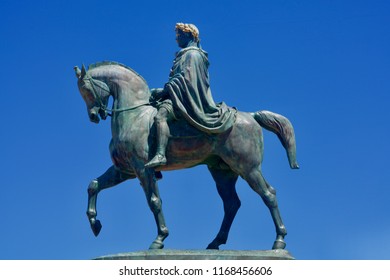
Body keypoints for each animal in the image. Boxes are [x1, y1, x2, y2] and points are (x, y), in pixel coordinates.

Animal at [74, 60, 298, 249]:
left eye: (86, 90)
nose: (93, 116)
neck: (134, 115)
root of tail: (251, 116)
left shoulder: (142, 170)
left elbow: (154, 201)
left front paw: (160, 238)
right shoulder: (124, 170)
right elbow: (93, 185)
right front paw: (94, 223)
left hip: (248, 168)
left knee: (268, 195)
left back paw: (279, 241)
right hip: (224, 172)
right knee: (232, 204)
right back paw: (215, 242)